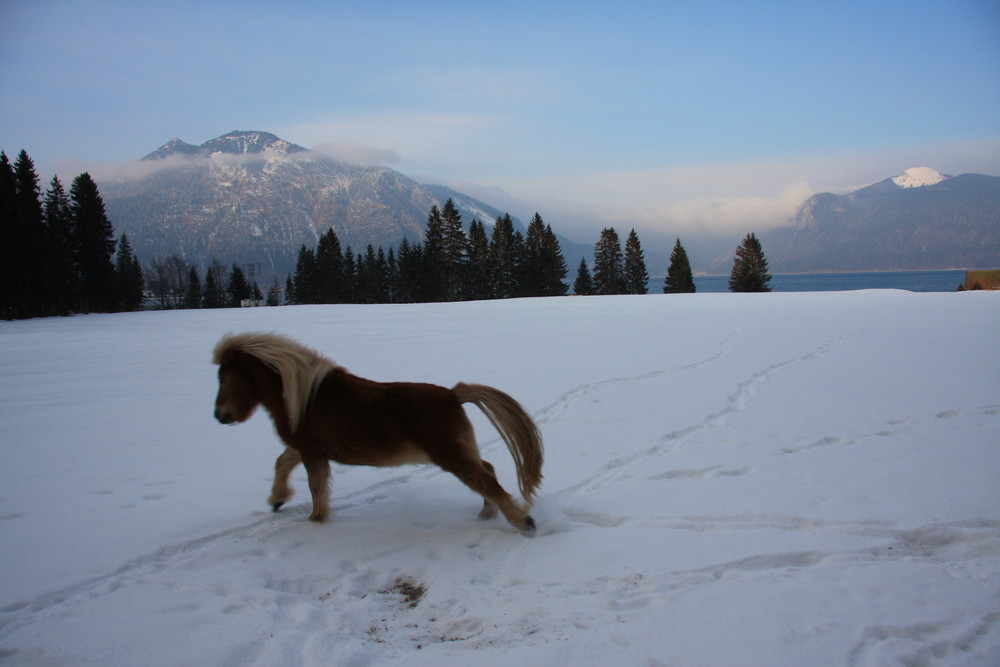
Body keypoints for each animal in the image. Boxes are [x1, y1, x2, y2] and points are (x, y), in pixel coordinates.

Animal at [207, 334, 544, 536]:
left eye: (223, 377)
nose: (219, 415)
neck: (305, 398)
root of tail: (453, 394)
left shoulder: (312, 452)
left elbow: (316, 487)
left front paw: (316, 520)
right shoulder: (306, 448)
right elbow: (282, 463)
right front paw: (278, 499)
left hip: (451, 455)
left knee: (485, 480)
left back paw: (523, 521)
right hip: (460, 451)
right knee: (487, 471)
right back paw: (487, 513)